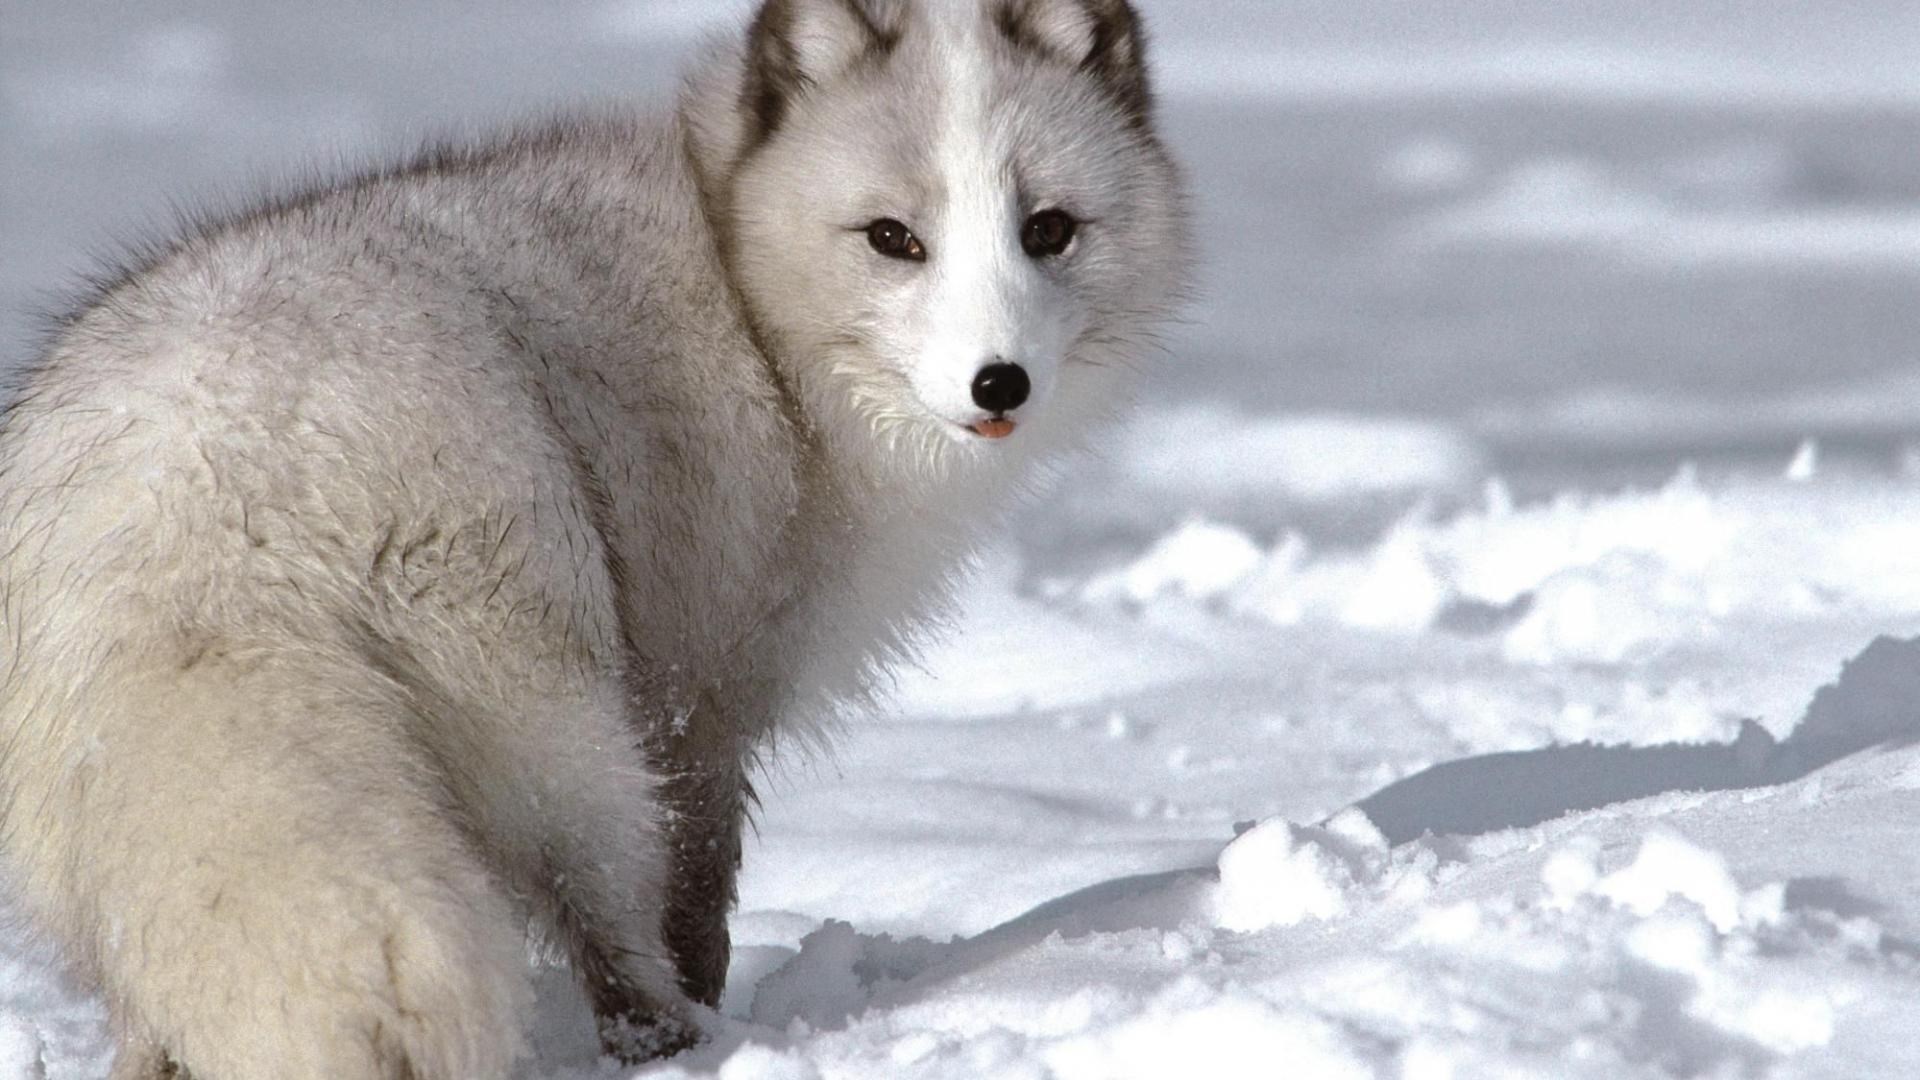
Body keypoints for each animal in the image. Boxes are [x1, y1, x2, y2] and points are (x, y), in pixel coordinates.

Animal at [0, 0, 1189, 1075]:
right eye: (895, 240)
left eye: (1049, 230)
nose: (1000, 384)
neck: (746, 293)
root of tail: (199, 495)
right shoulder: (703, 692)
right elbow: (699, 889)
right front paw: (709, 1007)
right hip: (556, 724)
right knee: (607, 918)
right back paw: (676, 1040)